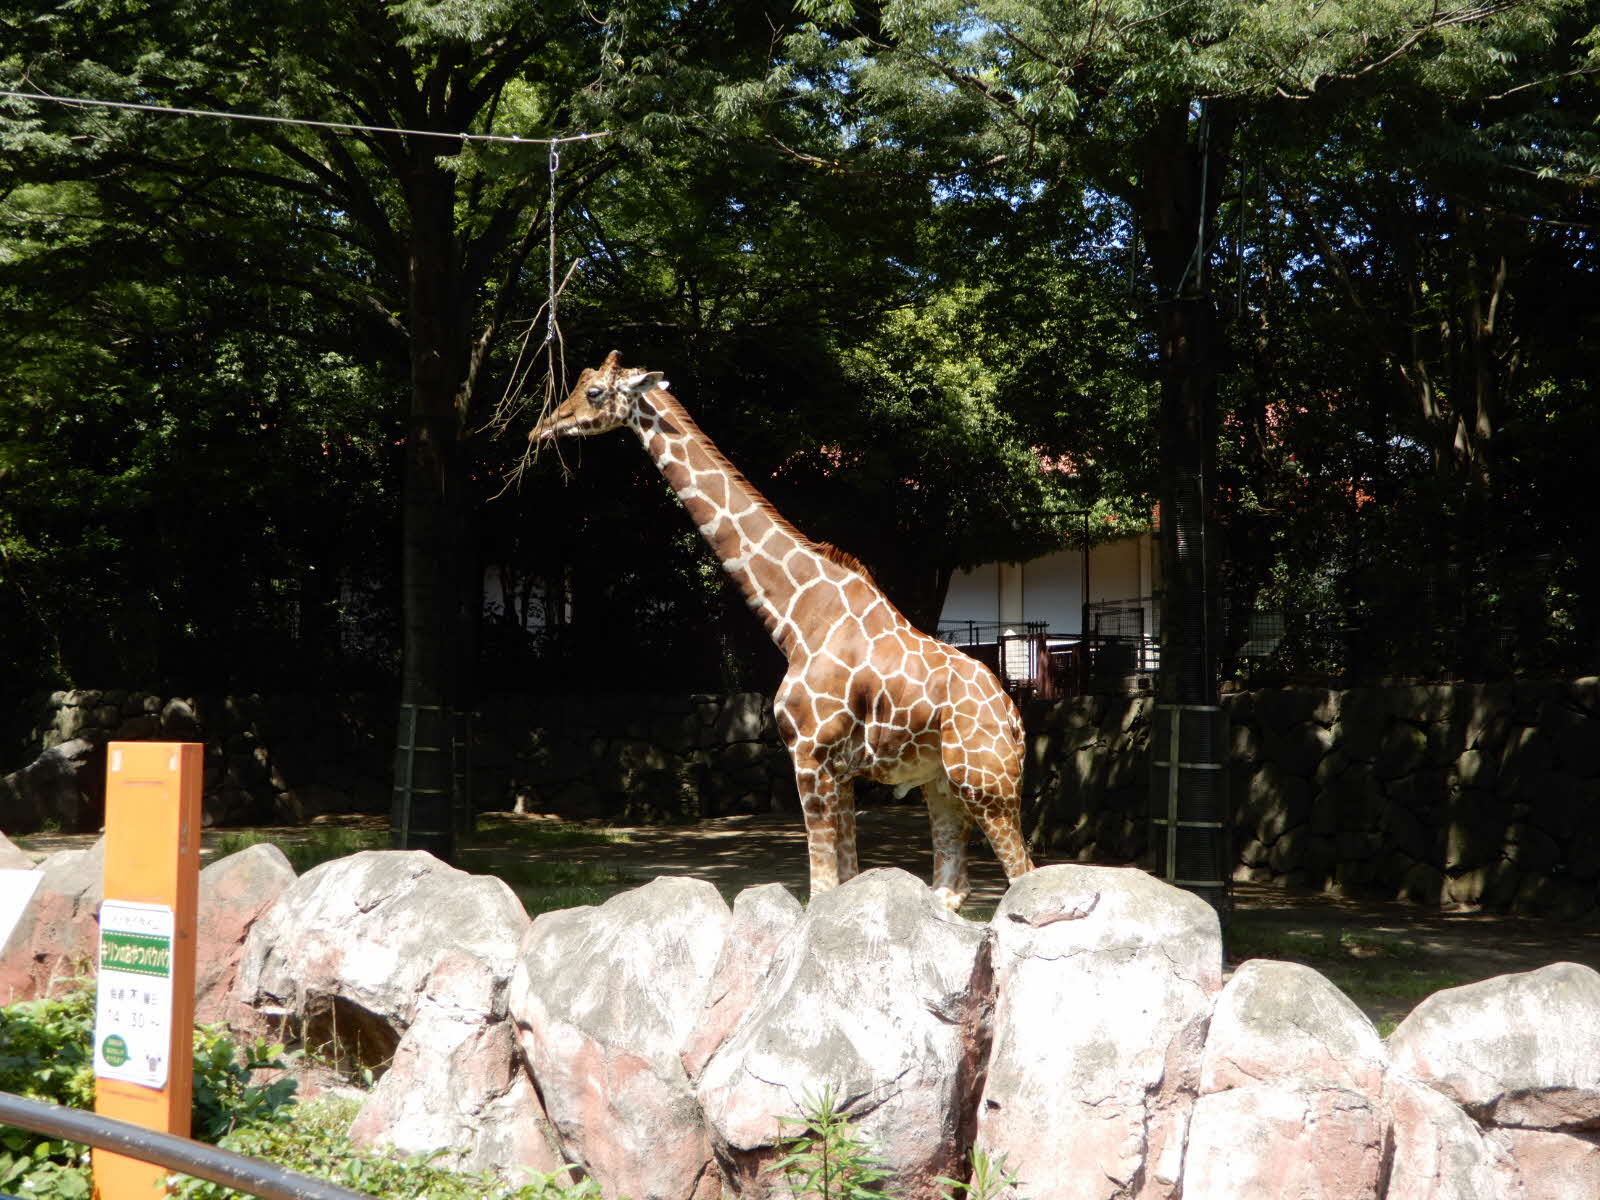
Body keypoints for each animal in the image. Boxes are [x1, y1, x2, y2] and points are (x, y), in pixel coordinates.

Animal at [534, 352, 1036, 908]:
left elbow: (821, 887)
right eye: (578, 383)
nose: (543, 428)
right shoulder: (839, 770)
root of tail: (1014, 717)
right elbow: (843, 880)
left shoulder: (810, 755)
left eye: (595, 392)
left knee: (1023, 874)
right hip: (941, 782)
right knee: (952, 886)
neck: (797, 620)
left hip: (985, 779)